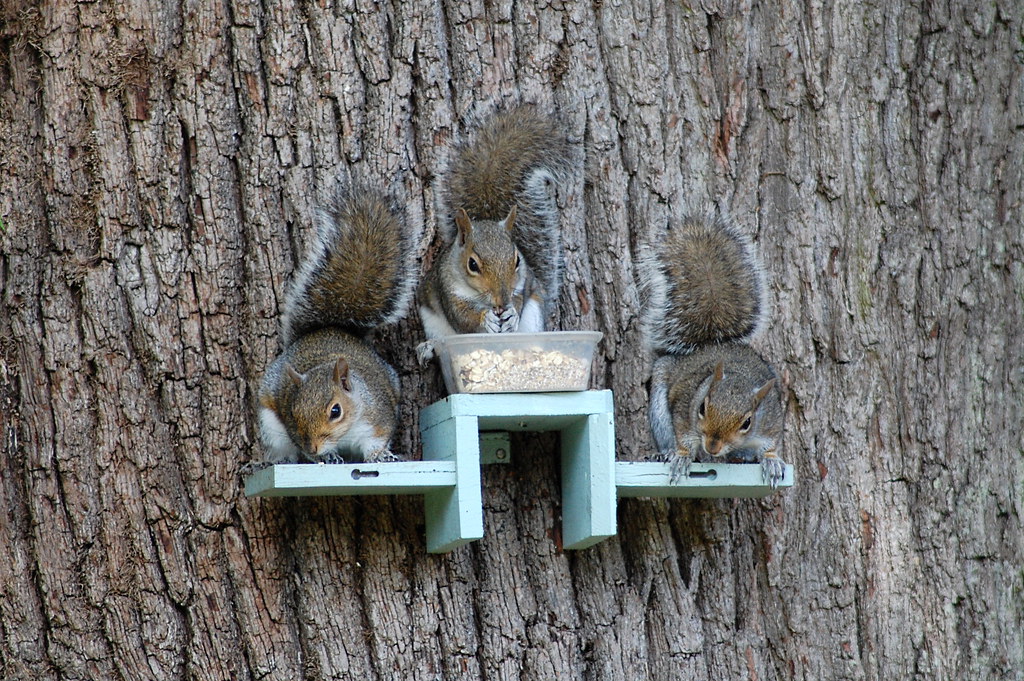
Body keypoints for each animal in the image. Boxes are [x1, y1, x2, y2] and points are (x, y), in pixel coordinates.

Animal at [257, 188, 421, 464]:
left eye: (336, 411)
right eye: (293, 412)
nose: (313, 447)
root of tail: (331, 329)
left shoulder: (378, 418)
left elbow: (377, 441)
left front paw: (380, 456)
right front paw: (325, 457)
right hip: (270, 424)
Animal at [417, 105, 572, 362]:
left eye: (517, 260)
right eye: (472, 264)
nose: (500, 303)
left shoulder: (520, 286)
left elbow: (518, 300)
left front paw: (511, 315)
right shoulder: (447, 290)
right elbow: (462, 318)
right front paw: (485, 319)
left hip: (533, 316)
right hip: (433, 322)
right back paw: (428, 347)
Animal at [638, 211, 787, 488]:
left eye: (747, 422)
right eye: (701, 408)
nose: (712, 446)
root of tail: (710, 342)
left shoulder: (770, 417)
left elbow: (770, 442)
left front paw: (771, 461)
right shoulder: (684, 407)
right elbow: (684, 437)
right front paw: (681, 457)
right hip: (661, 408)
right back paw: (668, 453)